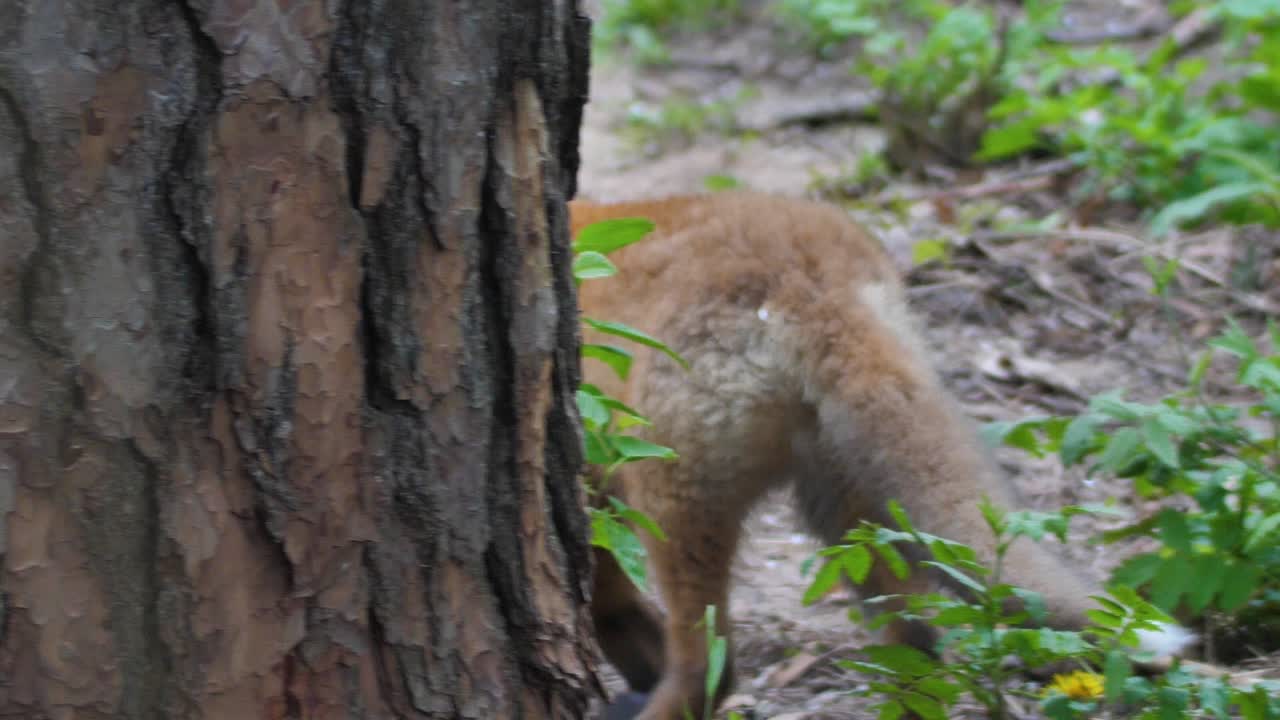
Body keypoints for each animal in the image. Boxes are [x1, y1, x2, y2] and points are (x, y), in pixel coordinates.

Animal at [569, 192, 1194, 720]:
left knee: (712, 668)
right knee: (918, 653)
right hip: (859, 521)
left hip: (675, 495)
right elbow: (608, 599)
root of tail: (817, 275)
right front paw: (633, 655)